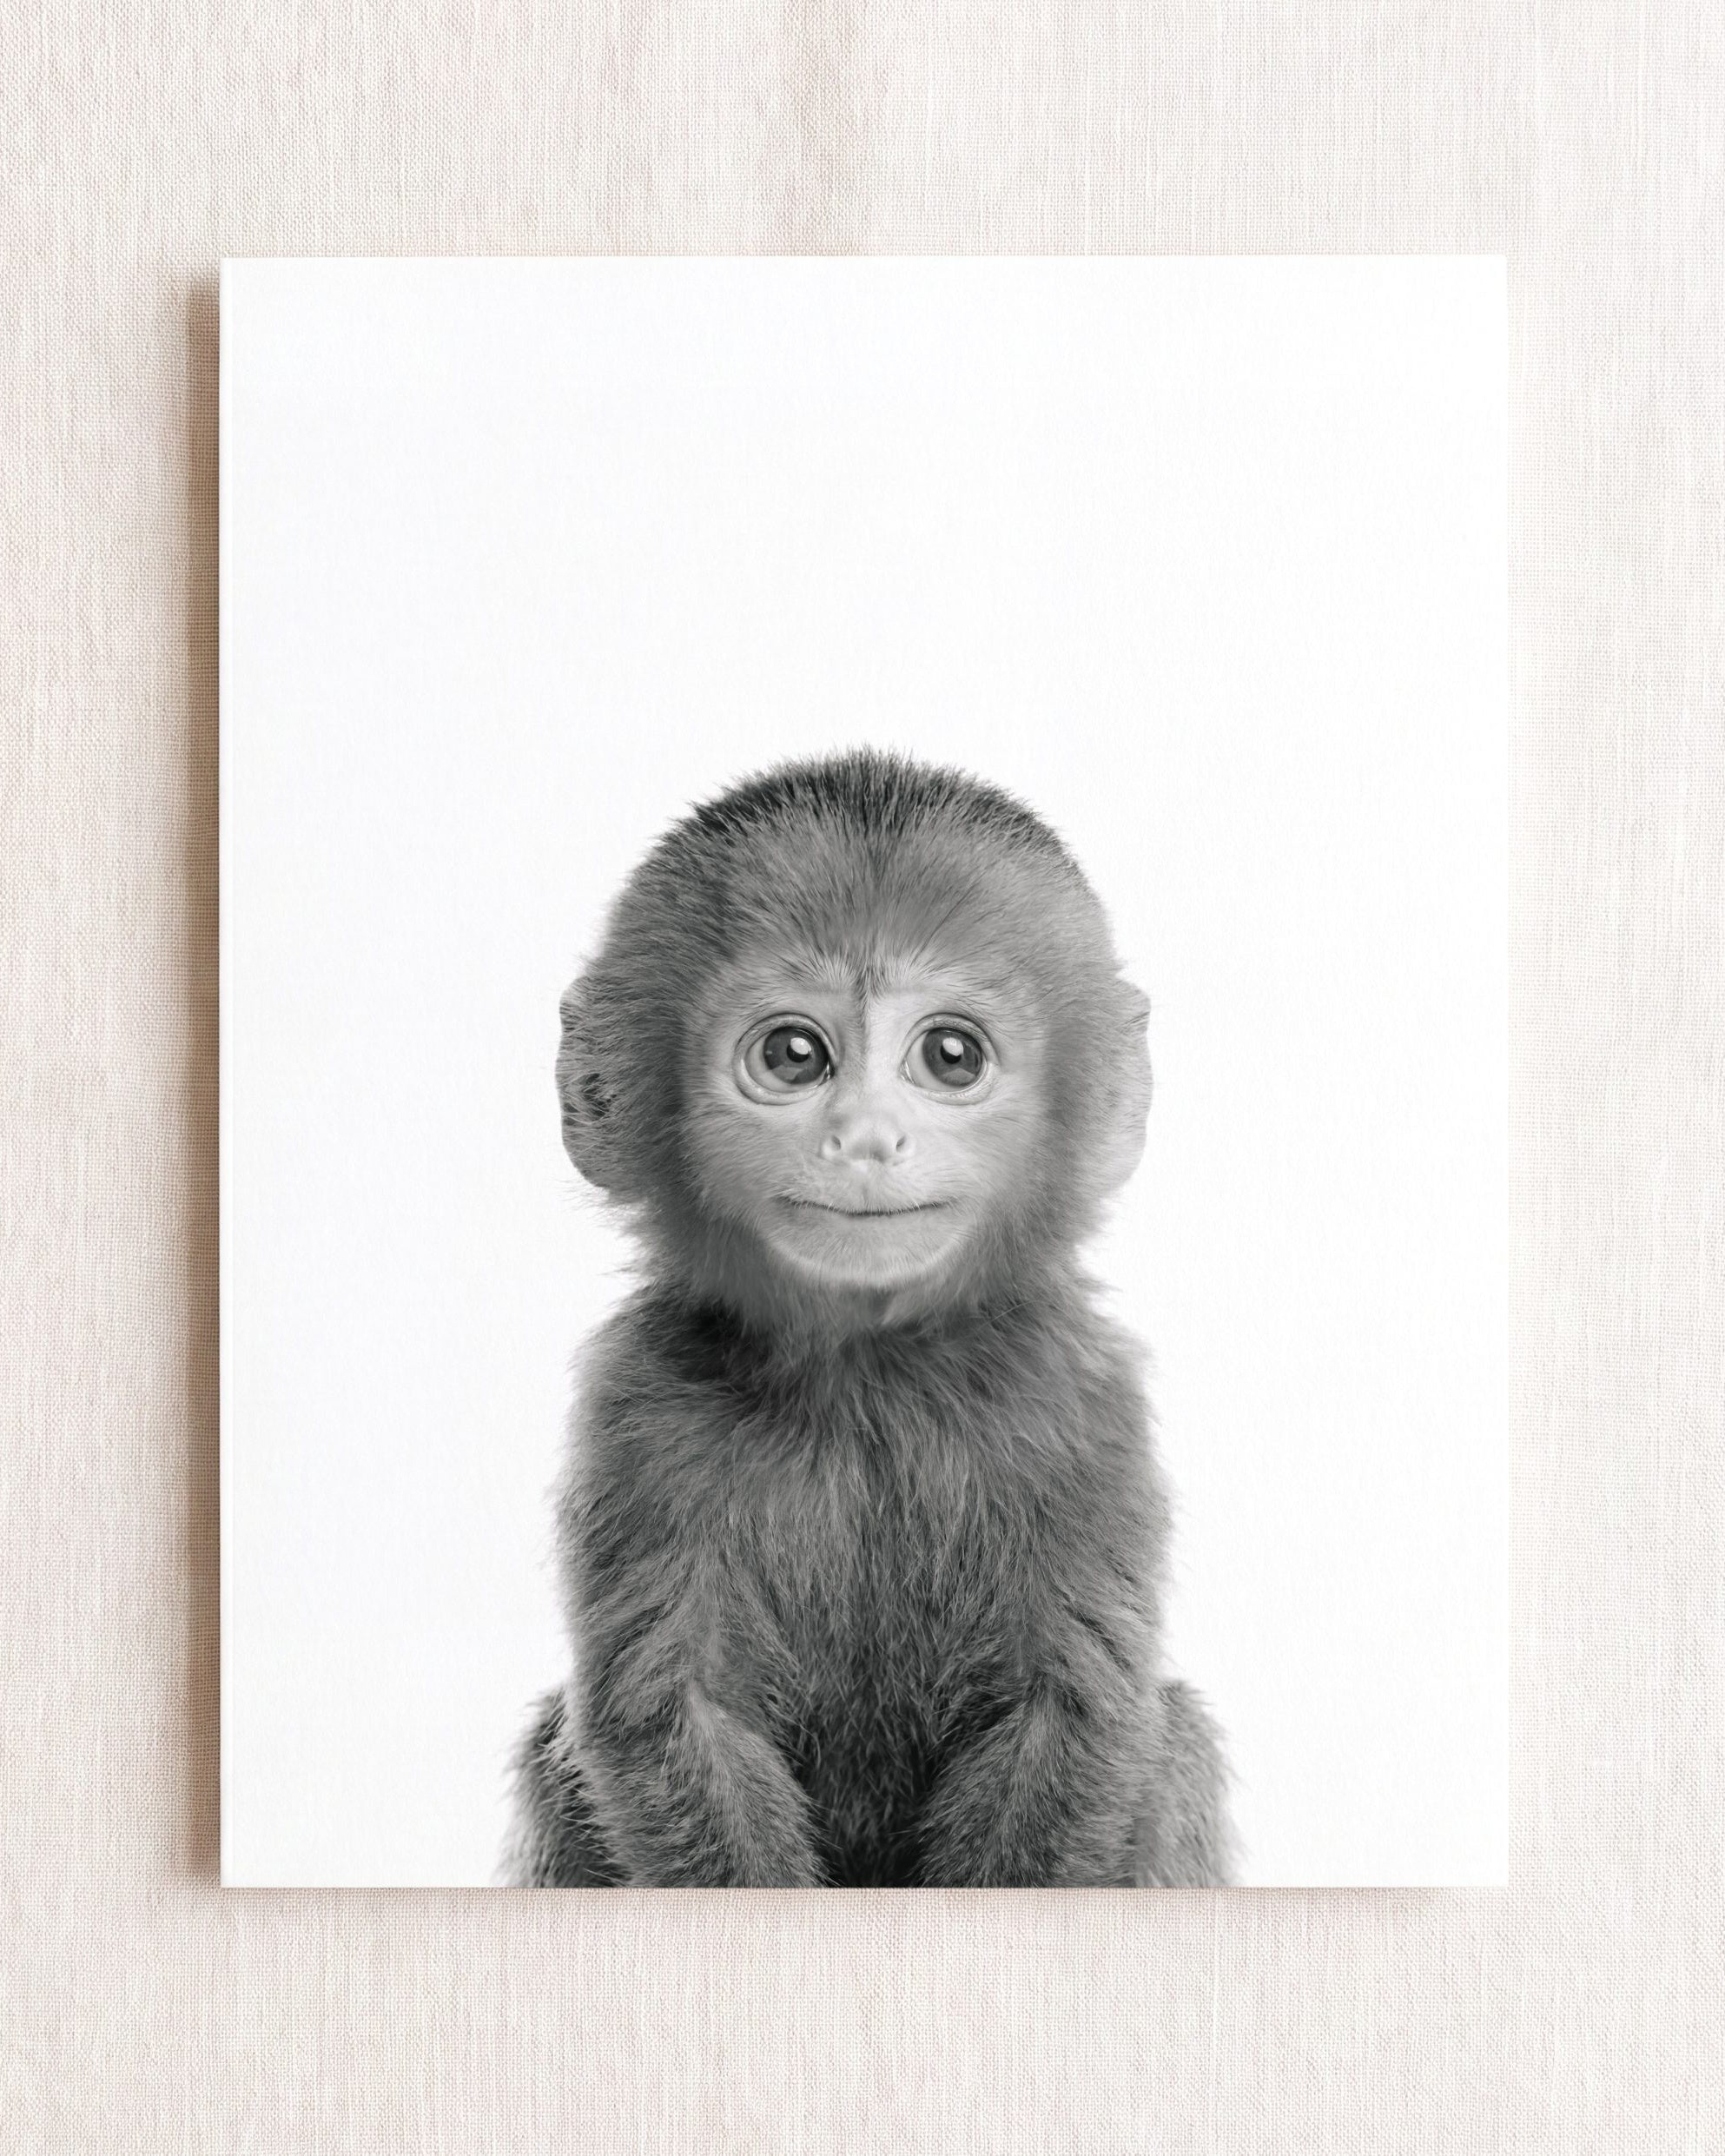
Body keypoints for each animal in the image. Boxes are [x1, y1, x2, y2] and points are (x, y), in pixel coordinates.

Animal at [505, 749, 1234, 1888]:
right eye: (795, 1056)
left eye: (950, 1056)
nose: (866, 1138)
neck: (869, 1372)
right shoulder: (637, 1402)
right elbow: (674, 1717)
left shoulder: (1083, 1395)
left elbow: (1071, 1714)